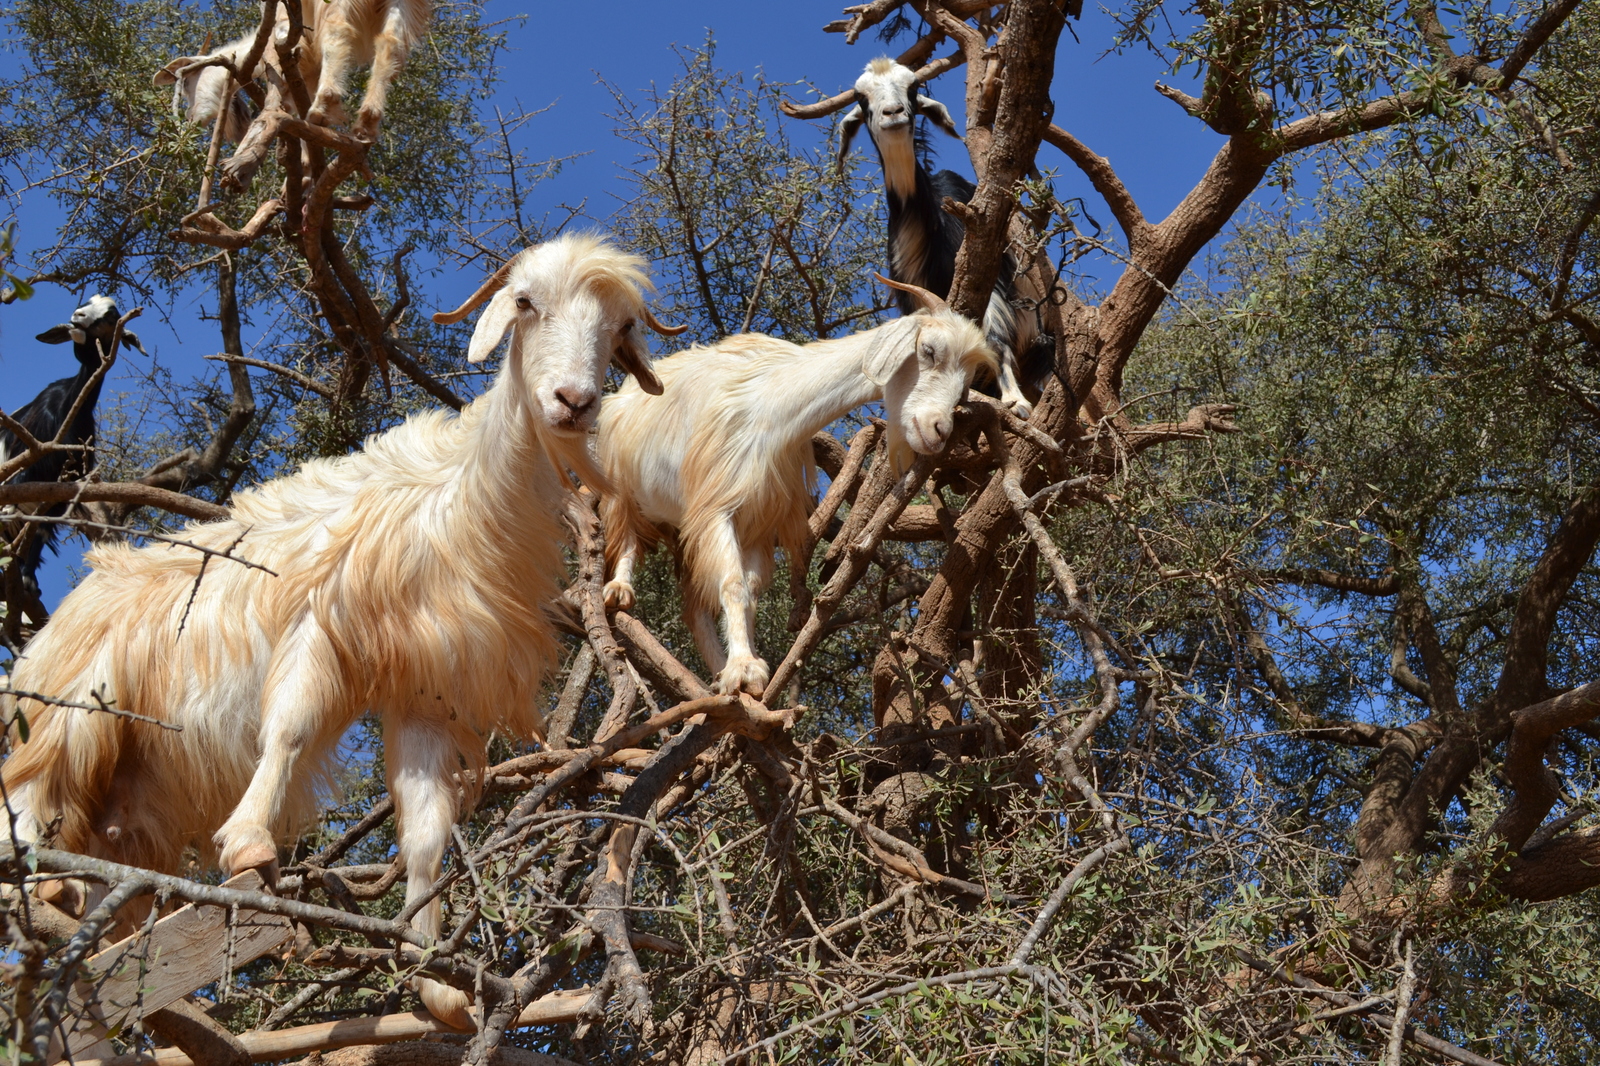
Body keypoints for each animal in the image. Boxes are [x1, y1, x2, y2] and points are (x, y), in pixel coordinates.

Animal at [0, 235, 675, 1030]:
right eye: (524, 302)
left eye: (620, 330)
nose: (573, 401)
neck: (458, 496)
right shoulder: (317, 626)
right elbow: (289, 729)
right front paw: (249, 845)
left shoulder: (424, 689)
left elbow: (425, 828)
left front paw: (437, 981)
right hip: (69, 717)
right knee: (26, 806)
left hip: (131, 796)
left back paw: (73, 906)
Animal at [601, 275, 998, 697]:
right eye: (928, 350)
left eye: (966, 384)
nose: (939, 431)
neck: (774, 409)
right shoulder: (715, 506)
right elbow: (732, 584)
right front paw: (742, 668)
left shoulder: (759, 521)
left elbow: (749, 593)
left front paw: (747, 673)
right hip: (620, 488)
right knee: (626, 538)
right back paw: (619, 591)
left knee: (693, 609)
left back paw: (713, 675)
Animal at [838, 56, 1049, 416]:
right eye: (861, 97)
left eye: (912, 87)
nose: (893, 113)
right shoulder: (912, 295)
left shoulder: (988, 278)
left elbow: (995, 339)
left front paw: (1016, 402)